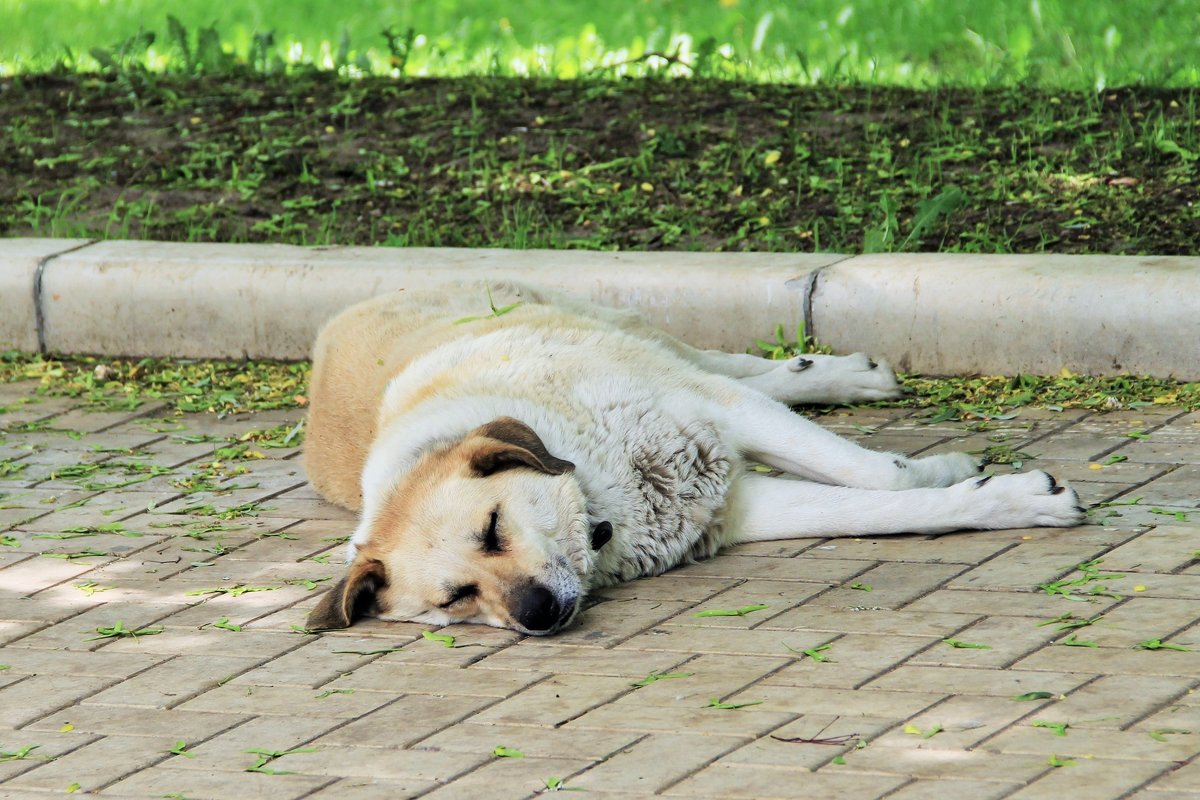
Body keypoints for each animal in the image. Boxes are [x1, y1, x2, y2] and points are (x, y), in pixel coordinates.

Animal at [302, 281, 1089, 638]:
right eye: (454, 600)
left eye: (493, 529)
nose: (536, 614)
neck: (607, 504)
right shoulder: (735, 509)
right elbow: (881, 510)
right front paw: (996, 497)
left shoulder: (716, 414)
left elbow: (875, 472)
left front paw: (949, 472)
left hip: (640, 338)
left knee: (733, 366)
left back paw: (845, 375)